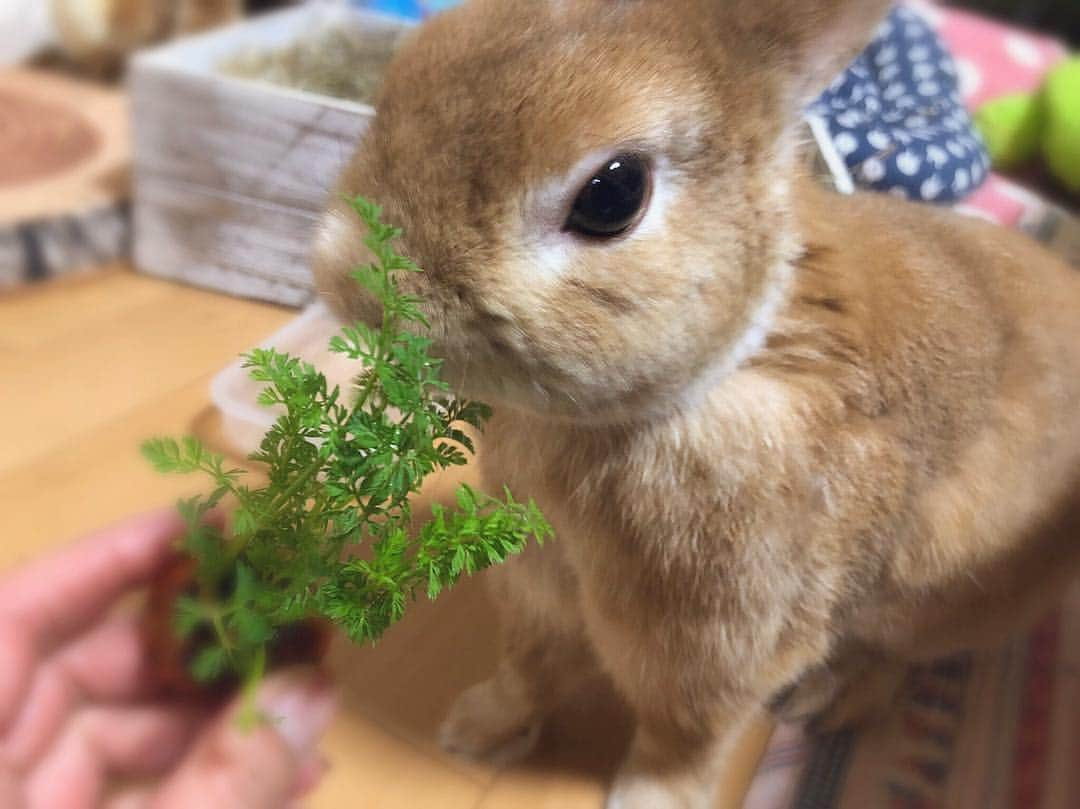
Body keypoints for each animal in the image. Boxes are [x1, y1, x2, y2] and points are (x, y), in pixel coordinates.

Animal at [311, 1, 1080, 807]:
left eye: (612, 194)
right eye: (408, 67)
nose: (353, 282)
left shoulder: (718, 642)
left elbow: (684, 735)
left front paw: (649, 798)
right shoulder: (539, 584)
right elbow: (529, 665)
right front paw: (473, 730)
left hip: (942, 601)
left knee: (895, 658)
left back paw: (827, 700)